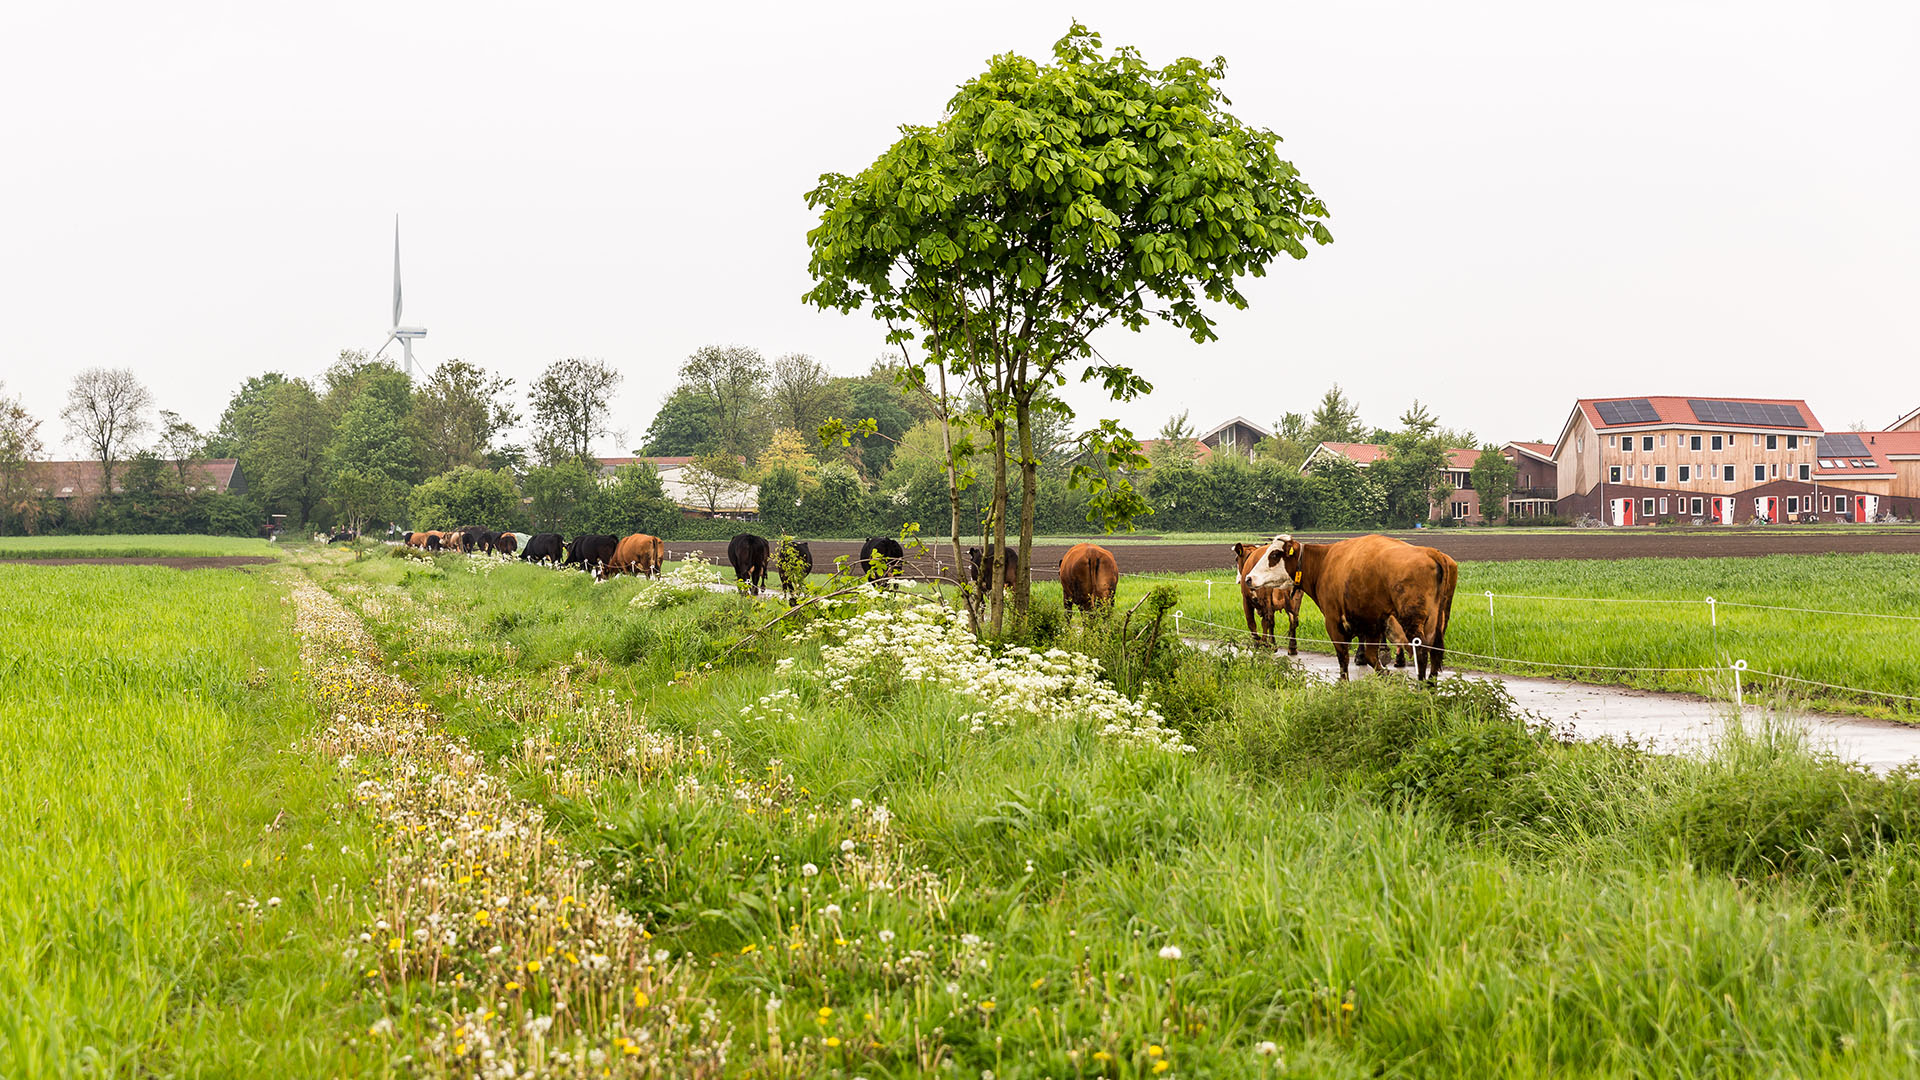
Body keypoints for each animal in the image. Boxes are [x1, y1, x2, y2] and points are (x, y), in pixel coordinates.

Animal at [1244, 530, 1451, 680]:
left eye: (1274, 554)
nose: (1248, 578)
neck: (1324, 562)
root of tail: (1431, 552)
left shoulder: (1334, 622)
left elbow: (1343, 657)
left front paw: (1344, 684)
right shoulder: (1372, 624)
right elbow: (1370, 656)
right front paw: (1386, 675)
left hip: (1413, 621)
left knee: (1421, 652)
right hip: (1437, 622)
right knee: (1435, 652)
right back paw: (1430, 685)